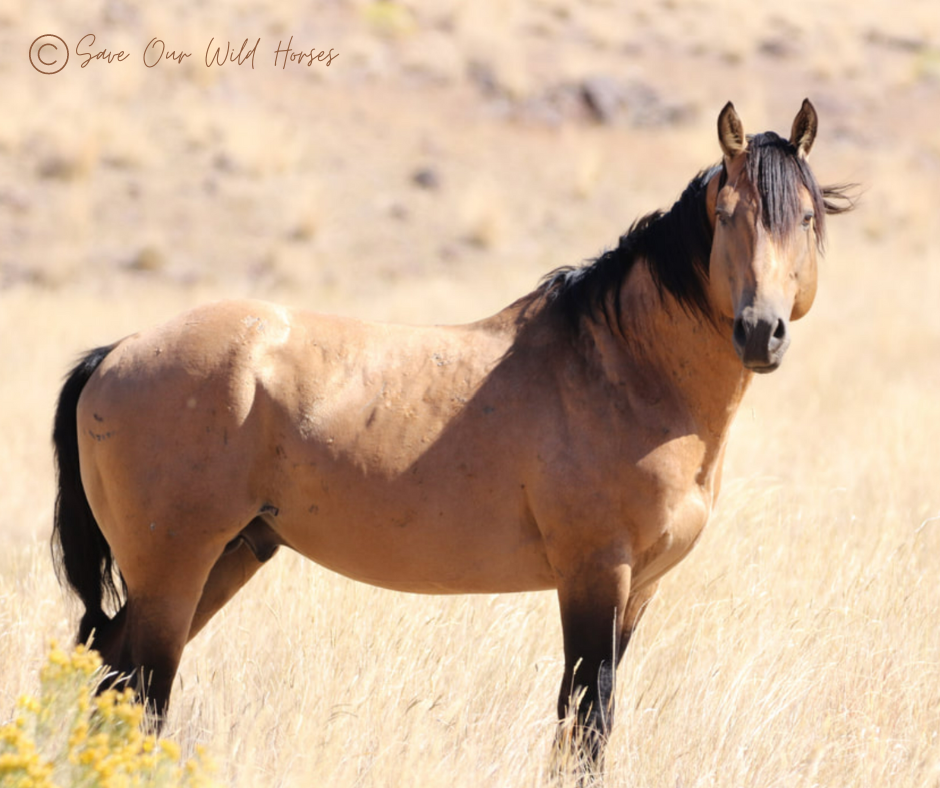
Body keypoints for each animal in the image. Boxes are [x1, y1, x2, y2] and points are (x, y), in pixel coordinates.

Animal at [51, 100, 852, 772]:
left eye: (807, 219)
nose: (760, 331)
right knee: (142, 689)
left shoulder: (639, 590)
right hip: (175, 570)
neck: (623, 369)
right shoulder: (595, 575)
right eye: (727, 214)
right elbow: (588, 716)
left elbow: (582, 719)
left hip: (229, 556)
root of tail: (115, 354)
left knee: (114, 675)